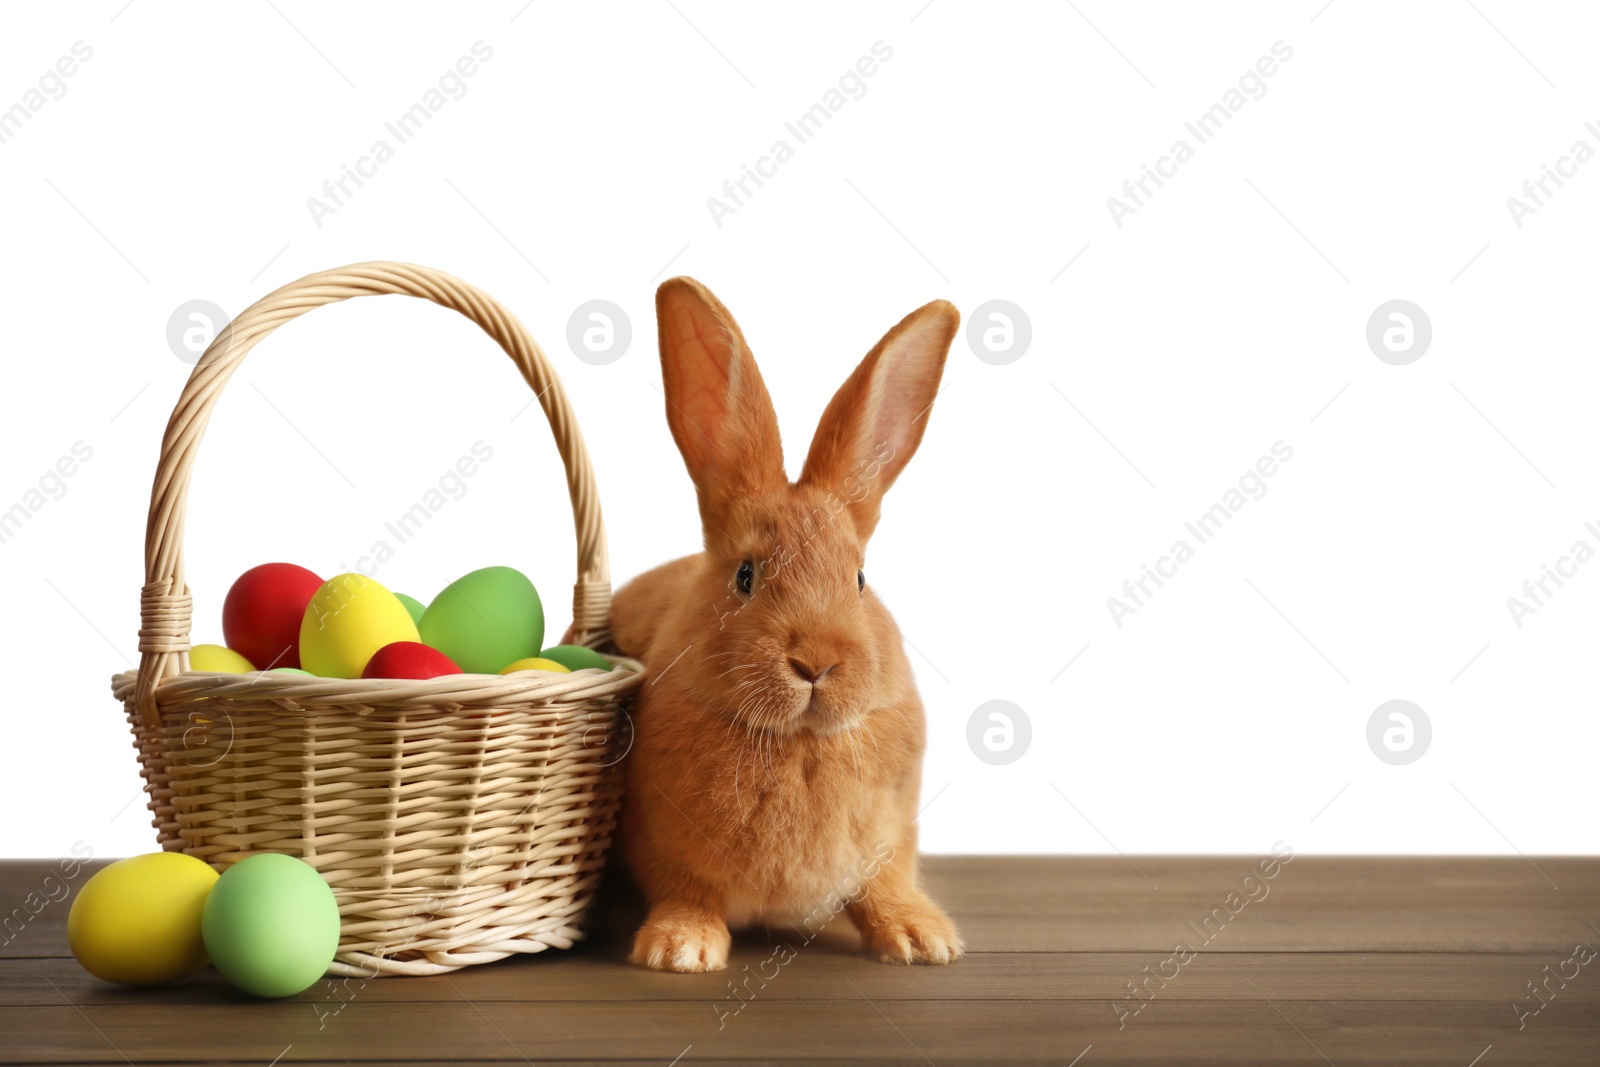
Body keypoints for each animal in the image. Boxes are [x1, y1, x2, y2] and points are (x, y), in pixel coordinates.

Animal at [608, 279, 960, 972]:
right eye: (745, 576)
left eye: (859, 578)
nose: (816, 663)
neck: (797, 741)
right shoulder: (663, 848)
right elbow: (685, 892)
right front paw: (680, 949)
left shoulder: (891, 840)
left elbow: (886, 886)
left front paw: (922, 939)